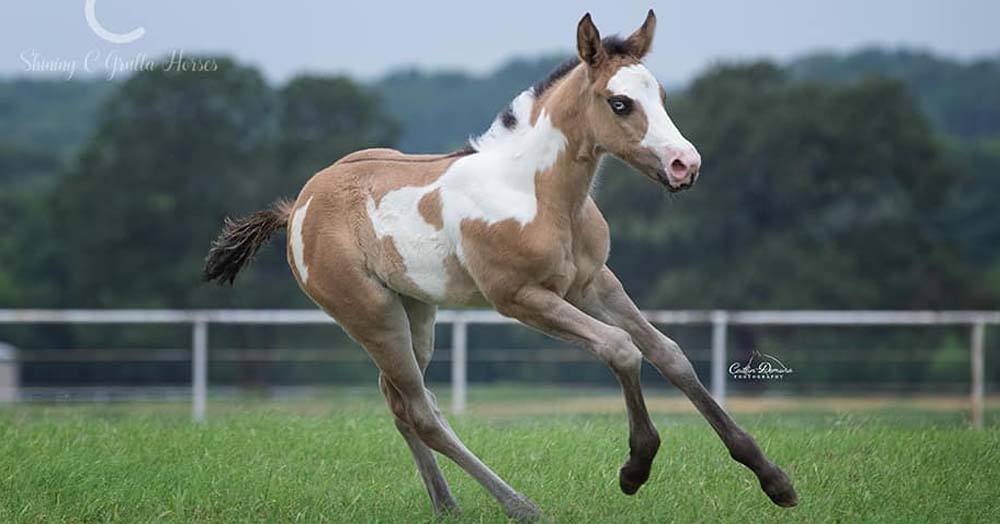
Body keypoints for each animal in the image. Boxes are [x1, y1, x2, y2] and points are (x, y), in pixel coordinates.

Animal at [201, 11, 796, 520]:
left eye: (662, 96)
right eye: (620, 103)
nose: (684, 165)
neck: (539, 194)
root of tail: (298, 205)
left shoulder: (594, 283)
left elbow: (671, 355)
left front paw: (773, 479)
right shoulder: (521, 299)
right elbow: (621, 349)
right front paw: (635, 467)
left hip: (415, 312)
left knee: (401, 402)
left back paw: (447, 504)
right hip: (370, 314)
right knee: (421, 411)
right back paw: (520, 505)